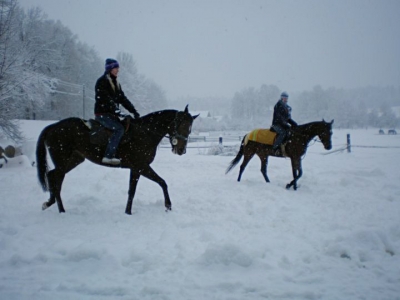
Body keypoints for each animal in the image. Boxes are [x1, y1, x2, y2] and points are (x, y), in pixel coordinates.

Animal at [35, 105, 198, 213]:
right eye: (181, 124)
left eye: (190, 128)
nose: (181, 150)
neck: (145, 133)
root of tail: (53, 126)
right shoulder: (141, 166)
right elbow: (162, 182)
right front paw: (167, 205)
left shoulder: (136, 169)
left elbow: (133, 190)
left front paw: (128, 212)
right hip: (62, 161)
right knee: (56, 180)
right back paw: (61, 209)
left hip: (74, 159)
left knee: (52, 176)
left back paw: (49, 203)